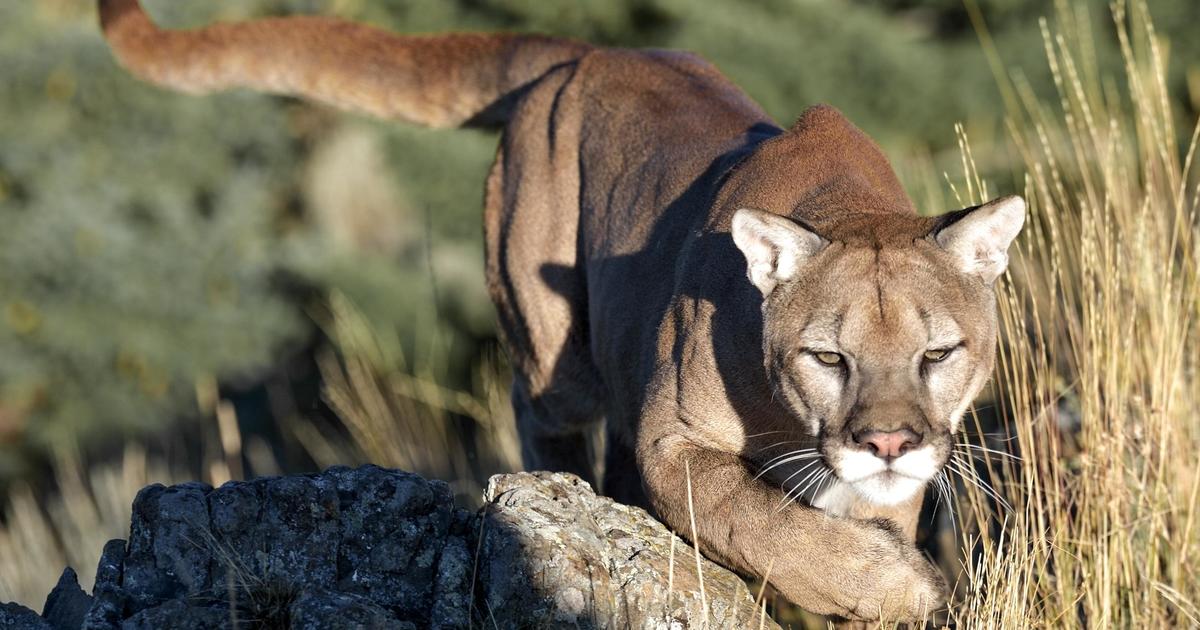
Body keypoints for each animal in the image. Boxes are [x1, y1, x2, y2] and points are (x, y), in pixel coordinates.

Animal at [98, 0, 1027, 619]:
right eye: (828, 357)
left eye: (938, 353)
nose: (888, 444)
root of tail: (591, 52)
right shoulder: (672, 439)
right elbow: (758, 519)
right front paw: (900, 582)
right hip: (553, 344)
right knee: (542, 409)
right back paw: (553, 500)